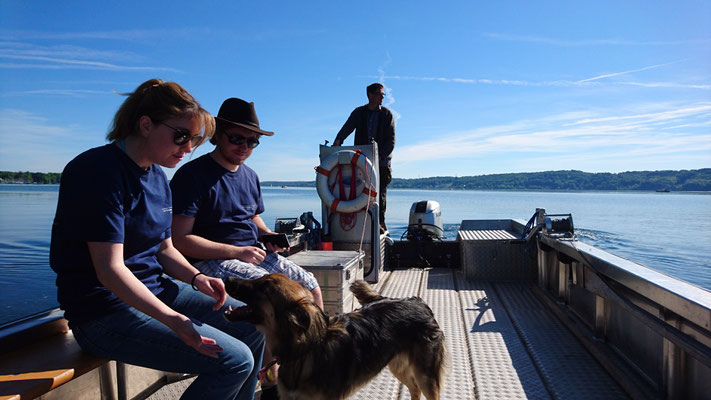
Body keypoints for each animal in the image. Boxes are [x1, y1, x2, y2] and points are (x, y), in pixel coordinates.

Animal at [224, 274, 444, 400]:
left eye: (264, 287)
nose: (227, 280)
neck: (303, 350)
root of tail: (418, 302)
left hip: (425, 376)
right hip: (399, 366)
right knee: (414, 390)